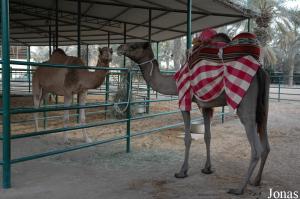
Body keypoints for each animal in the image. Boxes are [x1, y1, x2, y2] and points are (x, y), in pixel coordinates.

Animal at [118, 36, 272, 194]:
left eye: (134, 46)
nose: (119, 47)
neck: (175, 82)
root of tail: (260, 70)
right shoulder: (205, 105)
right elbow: (207, 136)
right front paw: (207, 168)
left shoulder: (184, 99)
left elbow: (188, 138)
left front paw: (182, 171)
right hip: (264, 105)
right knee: (266, 145)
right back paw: (256, 181)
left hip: (244, 103)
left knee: (256, 148)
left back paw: (239, 189)